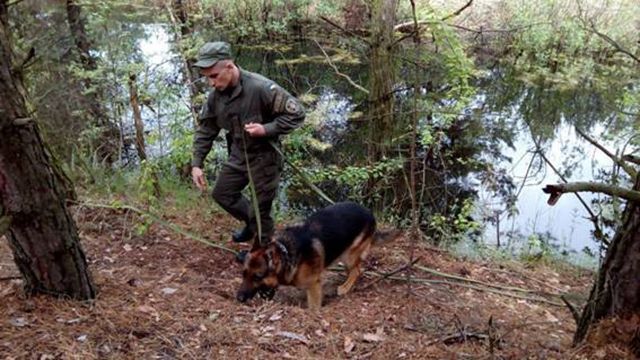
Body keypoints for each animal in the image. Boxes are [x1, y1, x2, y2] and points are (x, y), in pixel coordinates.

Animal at [232, 201, 398, 310]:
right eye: (243, 274)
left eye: (257, 277)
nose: (238, 298)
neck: (287, 253)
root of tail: (370, 214)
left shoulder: (313, 285)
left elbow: (313, 307)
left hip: (348, 255)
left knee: (357, 270)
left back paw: (345, 287)